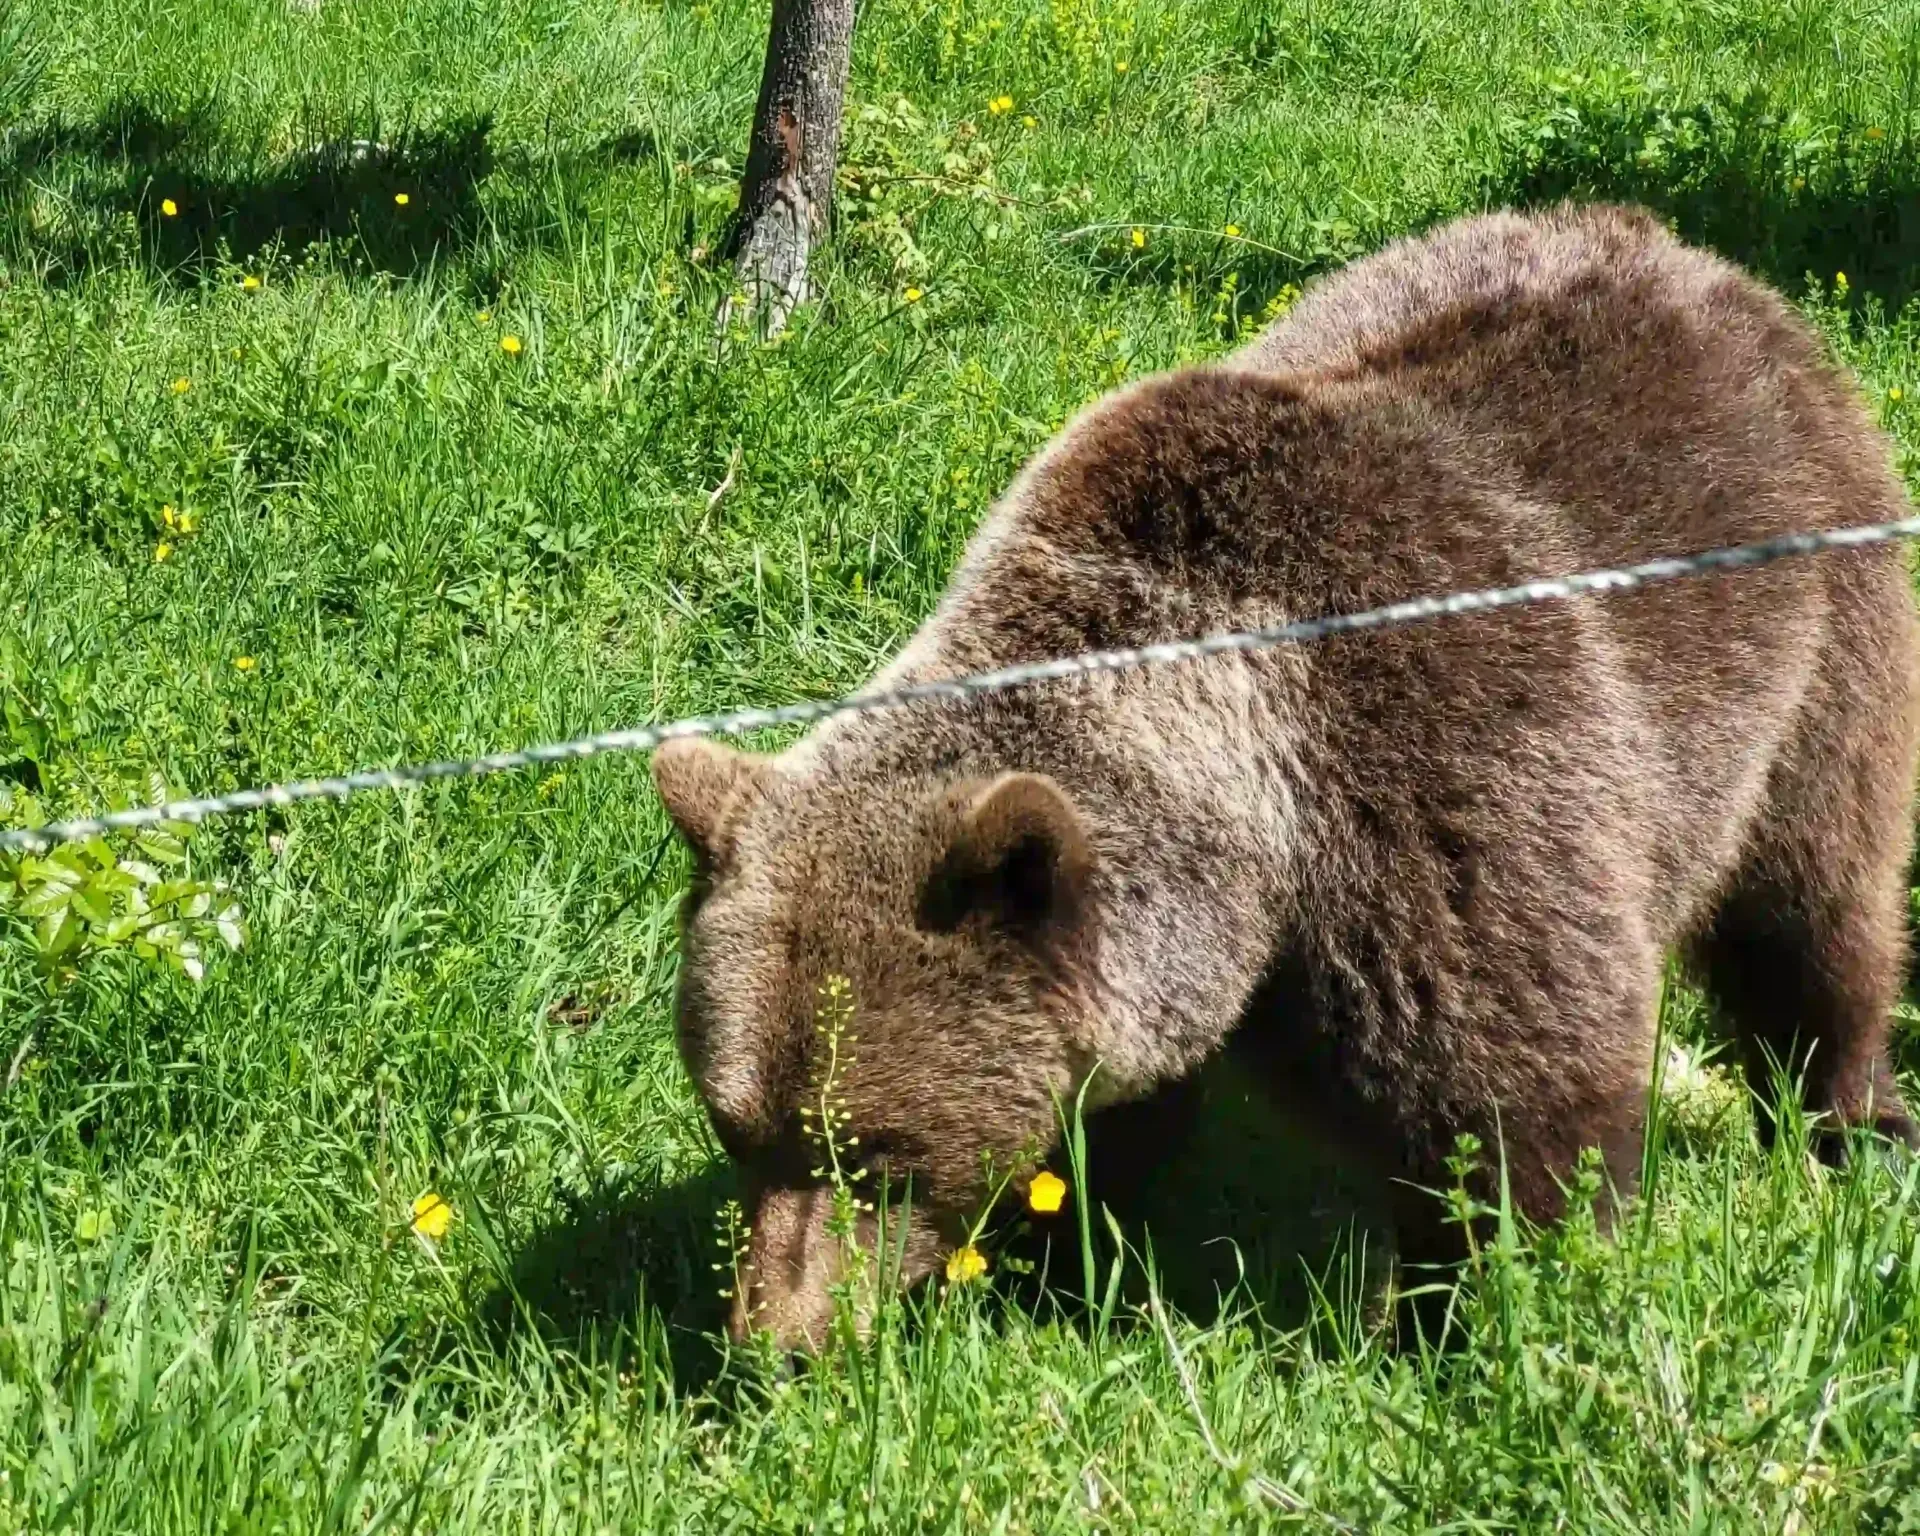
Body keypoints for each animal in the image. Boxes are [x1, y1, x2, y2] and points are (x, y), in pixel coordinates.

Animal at [656, 200, 1920, 1344]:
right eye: (736, 1128)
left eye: (872, 1156)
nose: (776, 1342)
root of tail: (1704, 262)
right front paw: (1063, 1253)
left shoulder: (1440, 781)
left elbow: (1517, 1086)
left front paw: (1485, 1308)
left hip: (1817, 631)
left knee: (1814, 908)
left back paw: (1853, 1124)